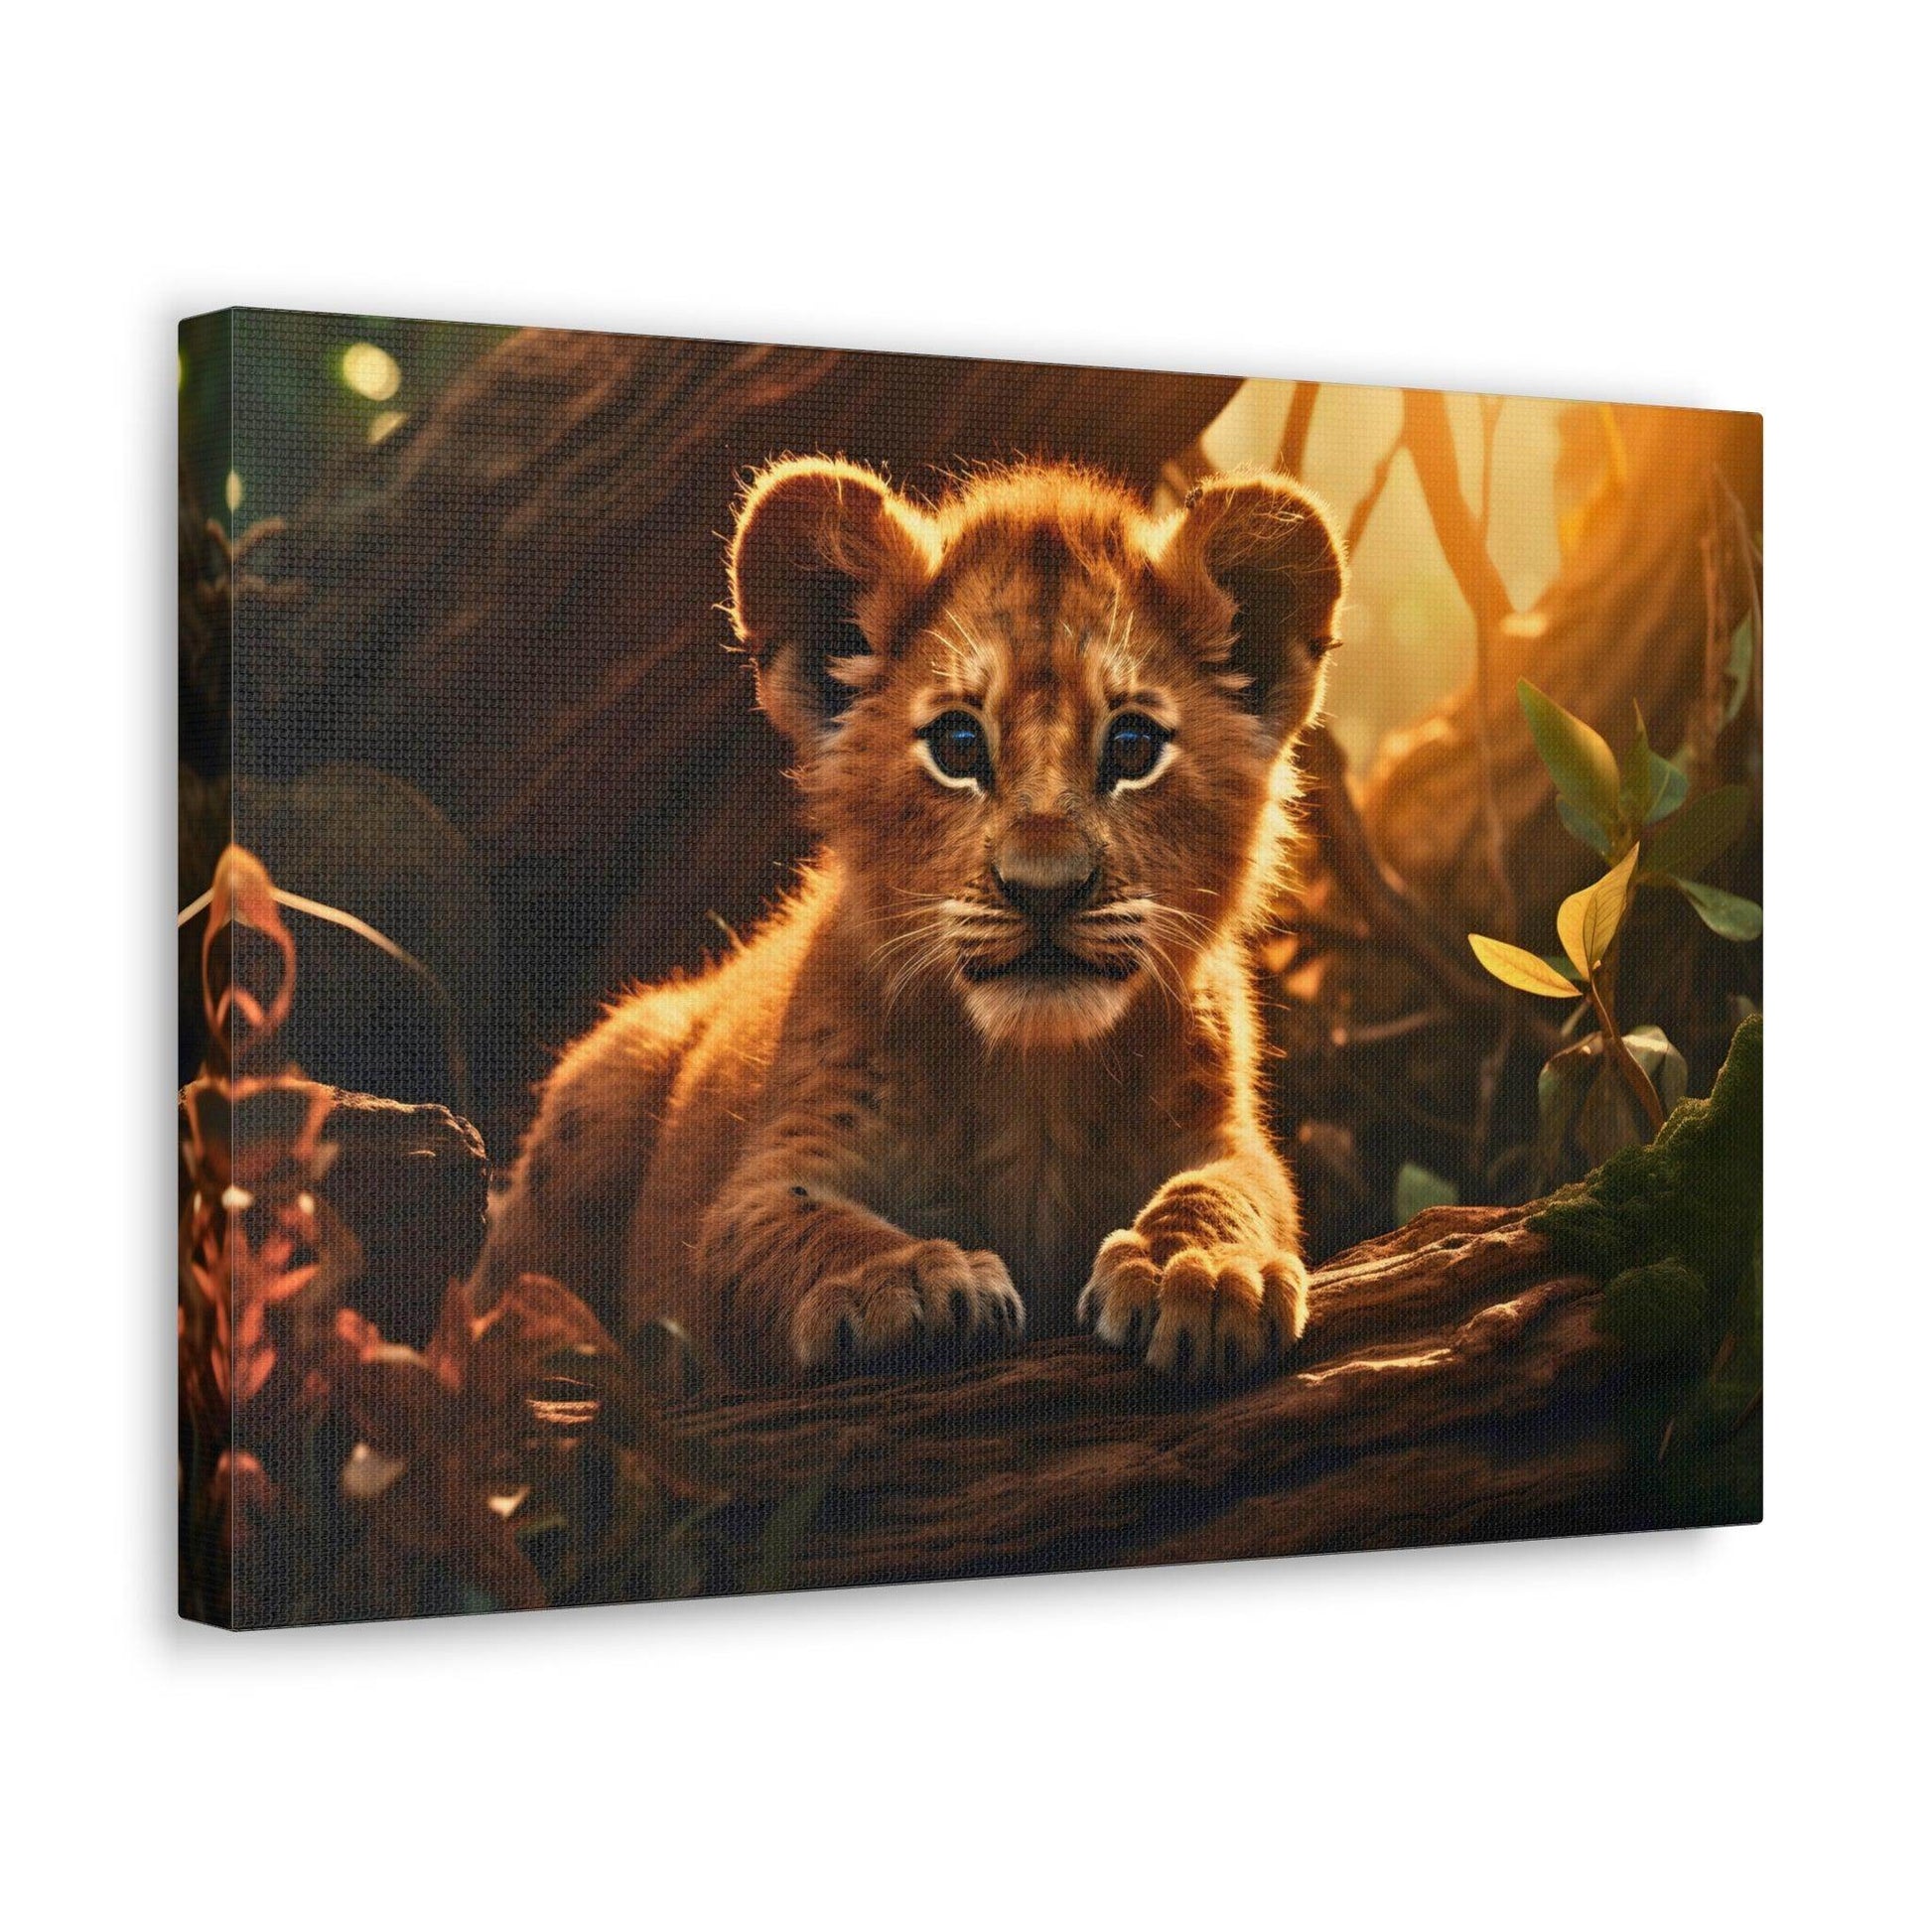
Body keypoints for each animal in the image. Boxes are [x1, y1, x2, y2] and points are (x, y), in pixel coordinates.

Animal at [471, 456, 1348, 1384]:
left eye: (1133, 746)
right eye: (958, 746)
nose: (1045, 889)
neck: (1034, 1080)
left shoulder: (1224, 1134)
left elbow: (1227, 1190)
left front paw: (1203, 1270)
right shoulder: (763, 1177)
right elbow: (803, 1227)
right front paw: (907, 1280)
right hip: (611, 1073)